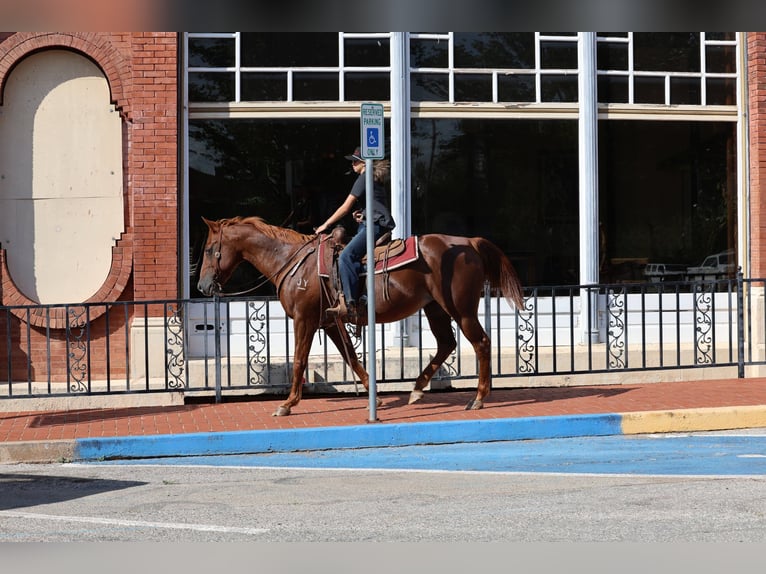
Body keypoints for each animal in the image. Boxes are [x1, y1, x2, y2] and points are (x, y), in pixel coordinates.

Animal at [196, 216, 524, 416]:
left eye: (211, 249)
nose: (201, 286)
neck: (293, 262)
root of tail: (469, 243)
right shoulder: (331, 322)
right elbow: (352, 358)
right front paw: (373, 394)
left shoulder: (305, 320)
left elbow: (300, 360)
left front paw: (287, 404)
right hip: (435, 308)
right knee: (447, 344)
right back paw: (417, 389)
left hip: (461, 309)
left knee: (480, 343)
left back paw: (478, 398)